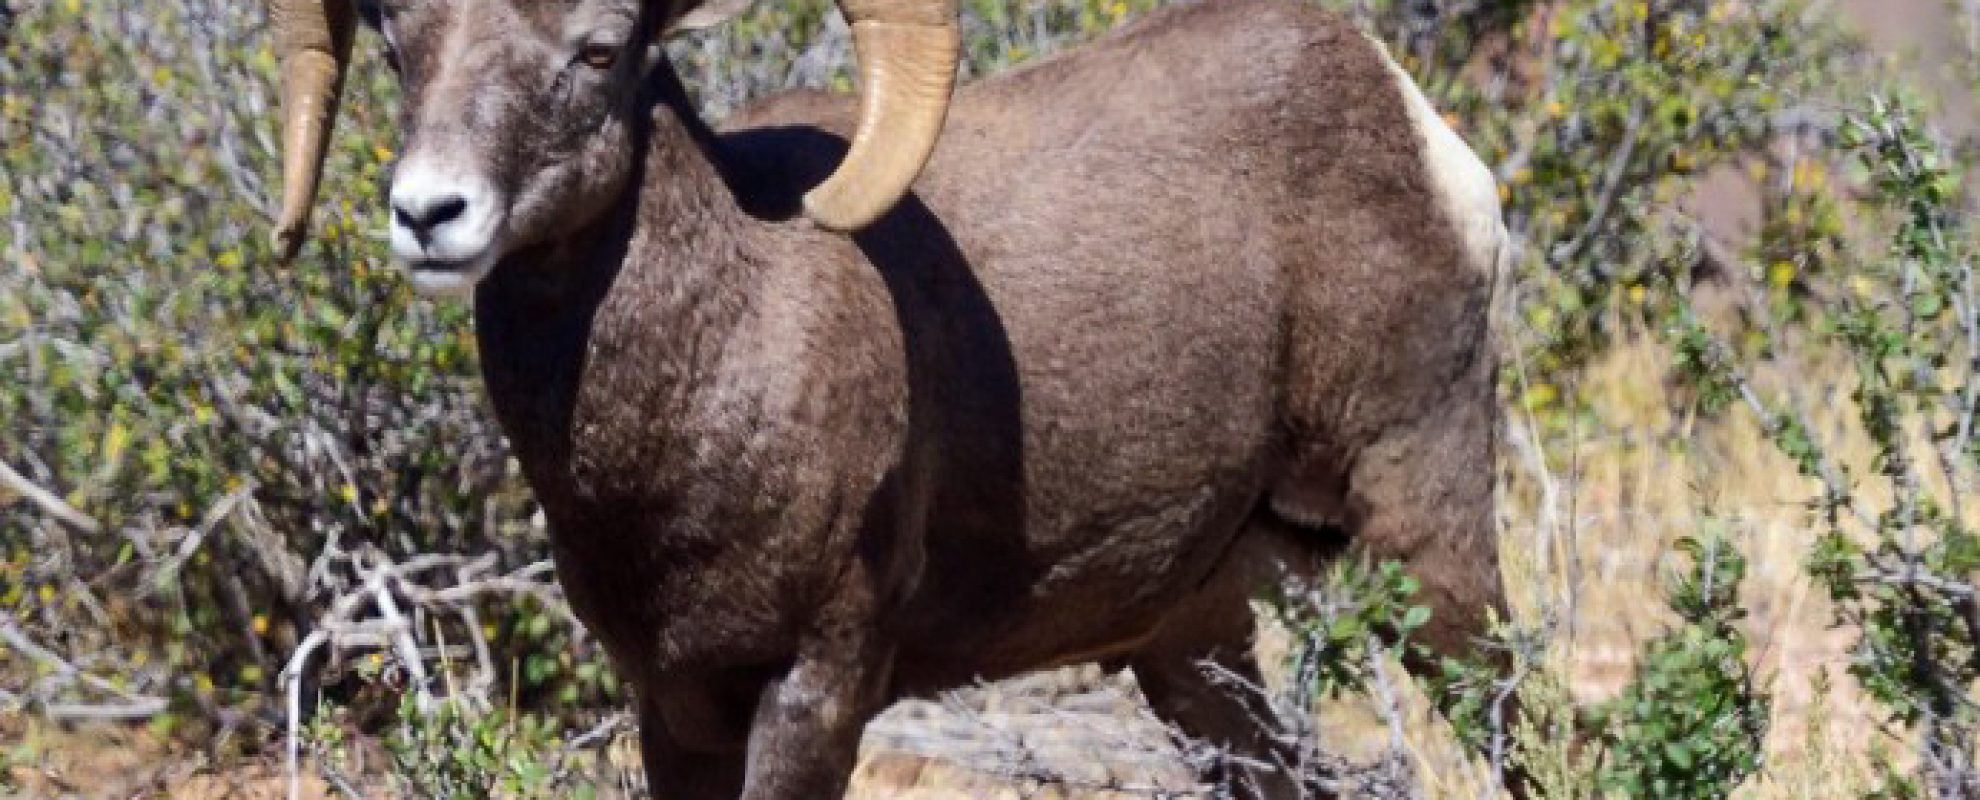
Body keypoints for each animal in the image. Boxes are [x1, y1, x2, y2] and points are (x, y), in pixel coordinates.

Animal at [265, 0, 1516, 797]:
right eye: (398, 47)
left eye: (600, 47)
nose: (431, 214)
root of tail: (1422, 132)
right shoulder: (676, 702)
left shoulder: (818, 685)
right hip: (1190, 641)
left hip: (1426, 536)